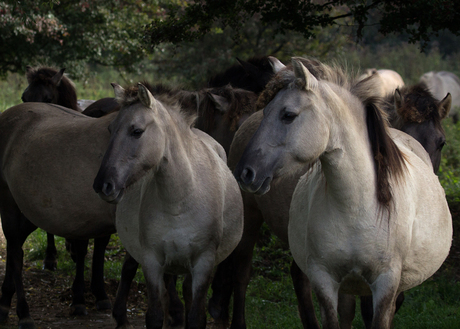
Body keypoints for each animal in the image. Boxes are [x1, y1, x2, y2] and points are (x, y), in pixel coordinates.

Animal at [92, 82, 244, 328]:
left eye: (136, 131)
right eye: (110, 129)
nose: (103, 184)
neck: (179, 200)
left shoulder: (203, 263)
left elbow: (196, 317)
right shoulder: (152, 261)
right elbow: (154, 314)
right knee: (131, 271)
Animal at [232, 57, 452, 326]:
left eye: (288, 115)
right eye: (266, 112)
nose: (245, 172)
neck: (357, 205)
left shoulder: (386, 283)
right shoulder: (324, 279)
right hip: (251, 218)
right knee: (242, 273)